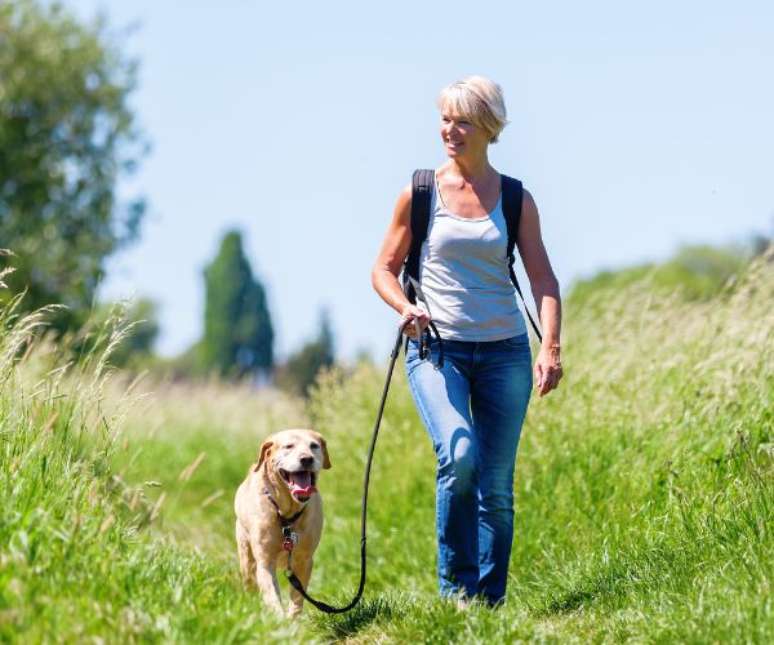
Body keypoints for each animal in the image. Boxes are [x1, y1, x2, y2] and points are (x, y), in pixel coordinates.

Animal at [233, 428, 330, 612]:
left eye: (314, 446)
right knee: (249, 583)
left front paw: (291, 617)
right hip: (246, 557)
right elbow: (273, 599)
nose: (306, 459)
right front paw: (278, 617)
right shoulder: (265, 563)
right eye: (288, 446)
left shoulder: (304, 562)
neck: (287, 516)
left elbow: (297, 600)